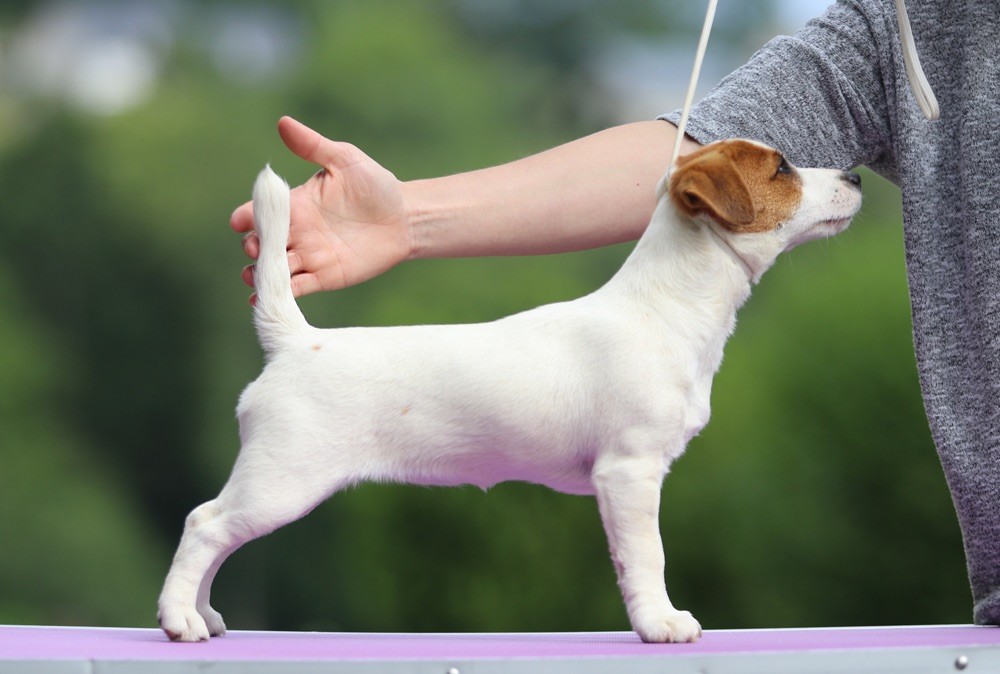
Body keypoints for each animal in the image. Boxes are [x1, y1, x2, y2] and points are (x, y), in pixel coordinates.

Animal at [160, 139, 864, 644]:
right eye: (782, 168)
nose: (857, 176)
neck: (664, 307)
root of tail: (296, 342)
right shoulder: (629, 473)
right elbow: (648, 557)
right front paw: (660, 623)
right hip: (284, 478)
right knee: (205, 524)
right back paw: (179, 619)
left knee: (214, 530)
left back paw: (205, 615)